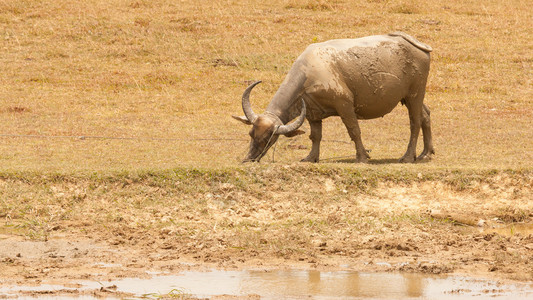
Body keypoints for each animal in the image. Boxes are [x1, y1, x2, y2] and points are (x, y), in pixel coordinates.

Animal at [233, 31, 432, 163]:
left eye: (268, 138)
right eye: (251, 134)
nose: (248, 159)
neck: (309, 73)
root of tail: (419, 46)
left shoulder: (345, 105)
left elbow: (354, 130)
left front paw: (362, 157)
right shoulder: (312, 114)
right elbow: (315, 136)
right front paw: (310, 158)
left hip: (415, 94)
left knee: (415, 122)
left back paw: (407, 157)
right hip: (410, 97)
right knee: (426, 115)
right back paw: (426, 153)